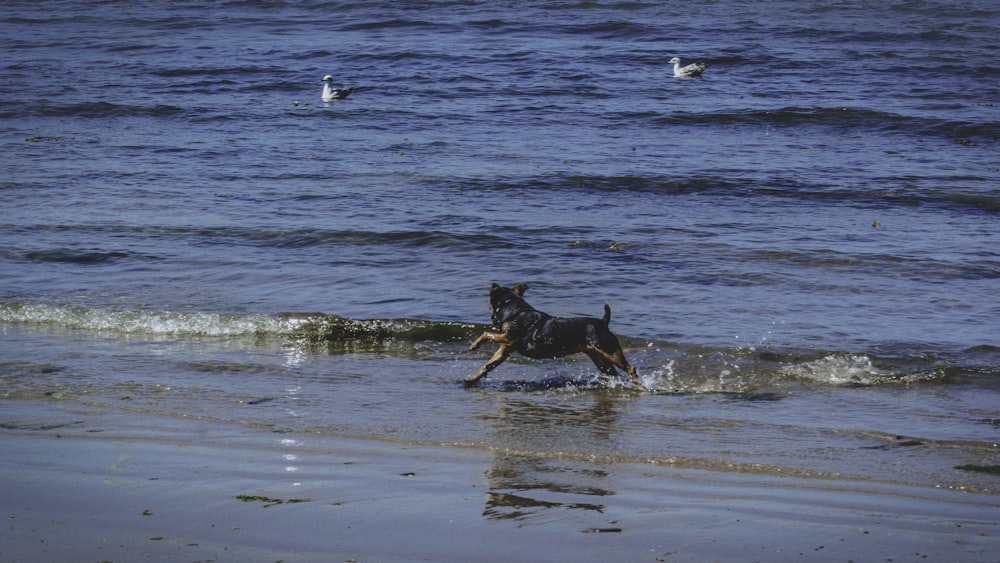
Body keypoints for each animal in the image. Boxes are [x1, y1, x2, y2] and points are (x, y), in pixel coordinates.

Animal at [466, 282, 644, 388]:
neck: (513, 309)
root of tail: (603, 322)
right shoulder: (505, 348)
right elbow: (488, 365)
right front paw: (471, 379)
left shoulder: (508, 338)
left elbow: (486, 333)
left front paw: (474, 345)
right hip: (600, 359)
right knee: (615, 374)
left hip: (609, 350)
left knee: (630, 368)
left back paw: (640, 386)